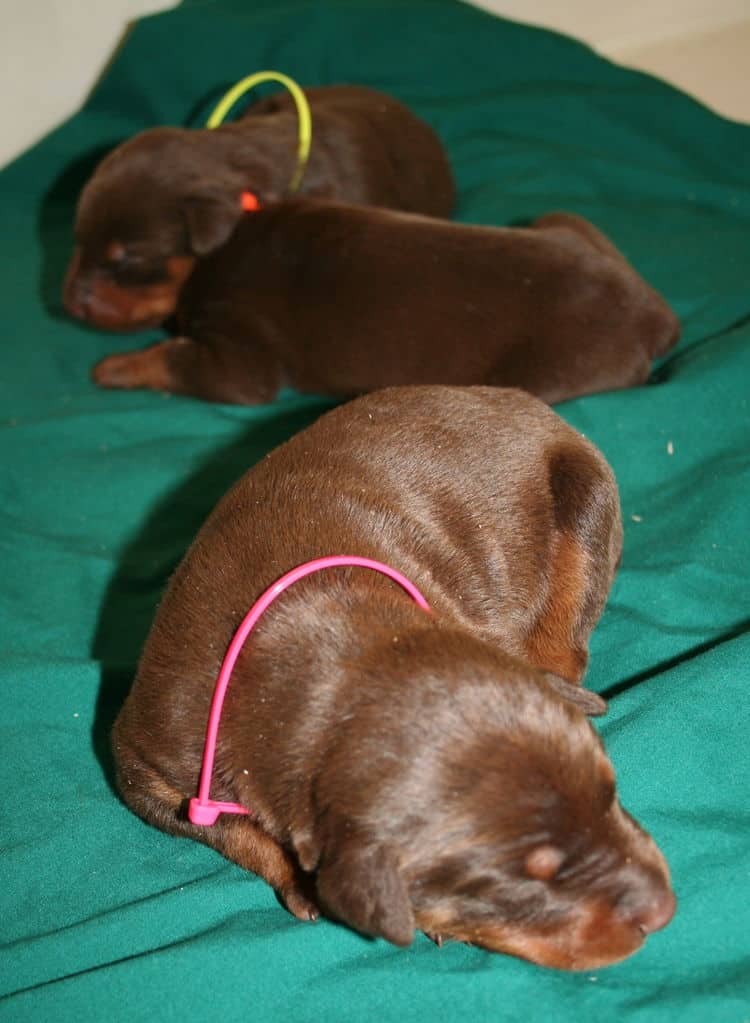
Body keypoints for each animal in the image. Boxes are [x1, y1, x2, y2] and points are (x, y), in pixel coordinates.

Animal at [83, 199, 679, 407]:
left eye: (122, 259)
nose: (73, 301)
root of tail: (653, 312)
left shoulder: (241, 354)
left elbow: (180, 360)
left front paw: (114, 367)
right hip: (561, 220)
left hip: (548, 369)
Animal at [112, 384, 679, 965]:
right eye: (519, 884)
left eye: (611, 794)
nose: (664, 909)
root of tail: (529, 404)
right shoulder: (145, 768)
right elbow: (230, 831)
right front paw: (298, 878)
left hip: (584, 506)